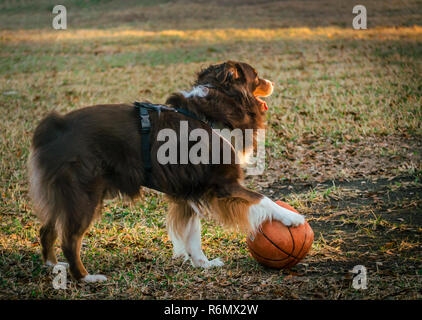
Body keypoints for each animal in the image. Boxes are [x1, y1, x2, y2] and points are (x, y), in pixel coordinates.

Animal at [28, 60, 304, 282]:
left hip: (64, 194)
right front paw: (292, 217)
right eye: (256, 76)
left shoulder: (190, 190)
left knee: (47, 230)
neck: (215, 107)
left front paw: (202, 264)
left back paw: (53, 266)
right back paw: (86, 278)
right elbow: (262, 199)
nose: (272, 83)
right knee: (70, 240)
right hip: (84, 194)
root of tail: (55, 127)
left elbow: (193, 233)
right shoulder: (222, 184)